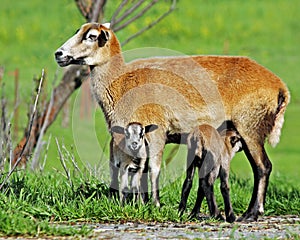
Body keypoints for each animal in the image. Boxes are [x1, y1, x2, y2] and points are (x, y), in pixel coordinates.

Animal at [54, 23, 290, 221]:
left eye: (91, 36)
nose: (59, 54)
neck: (120, 81)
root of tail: (280, 87)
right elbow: (140, 169)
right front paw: (142, 203)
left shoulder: (156, 130)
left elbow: (154, 167)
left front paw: (155, 204)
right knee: (259, 168)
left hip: (251, 126)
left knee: (263, 167)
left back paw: (252, 213)